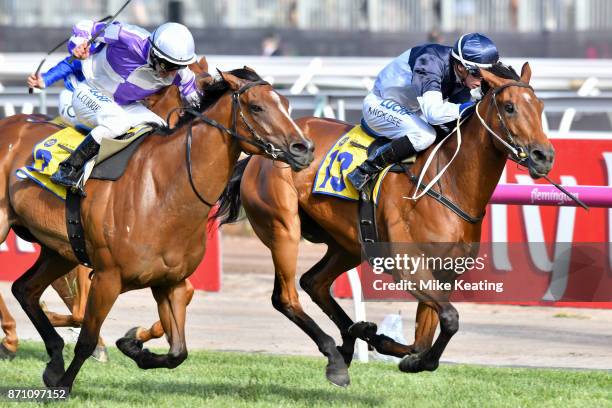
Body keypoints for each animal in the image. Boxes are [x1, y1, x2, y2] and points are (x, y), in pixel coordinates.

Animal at [214, 63, 556, 386]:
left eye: (540, 106)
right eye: (510, 107)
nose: (544, 156)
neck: (447, 180)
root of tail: (258, 154)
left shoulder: (443, 274)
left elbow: (424, 339)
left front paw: (403, 353)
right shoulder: (408, 266)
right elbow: (450, 318)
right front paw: (402, 353)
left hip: (348, 244)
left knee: (314, 282)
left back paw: (353, 336)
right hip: (284, 228)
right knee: (285, 297)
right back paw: (337, 355)